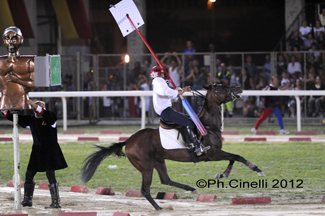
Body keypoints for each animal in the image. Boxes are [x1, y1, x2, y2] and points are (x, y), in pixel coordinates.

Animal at [80, 83, 264, 210]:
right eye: (220, 87)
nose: (238, 87)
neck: (207, 126)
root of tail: (129, 141)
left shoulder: (215, 154)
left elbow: (233, 158)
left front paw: (224, 174)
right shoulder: (212, 154)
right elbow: (237, 157)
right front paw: (255, 168)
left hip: (159, 161)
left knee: (166, 180)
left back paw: (191, 190)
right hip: (146, 166)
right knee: (145, 189)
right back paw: (159, 208)